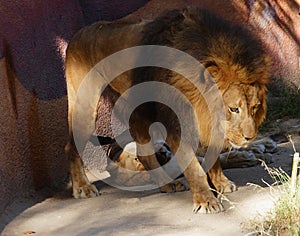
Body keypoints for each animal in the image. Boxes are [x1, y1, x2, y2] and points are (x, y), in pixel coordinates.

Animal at [64, 7, 270, 214]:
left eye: (255, 107)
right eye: (233, 109)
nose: (249, 137)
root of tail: (78, 34)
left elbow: (212, 156)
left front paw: (222, 183)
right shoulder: (176, 123)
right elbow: (194, 168)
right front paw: (206, 200)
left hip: (137, 109)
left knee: (144, 153)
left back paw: (168, 183)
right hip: (86, 106)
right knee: (71, 147)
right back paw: (82, 187)